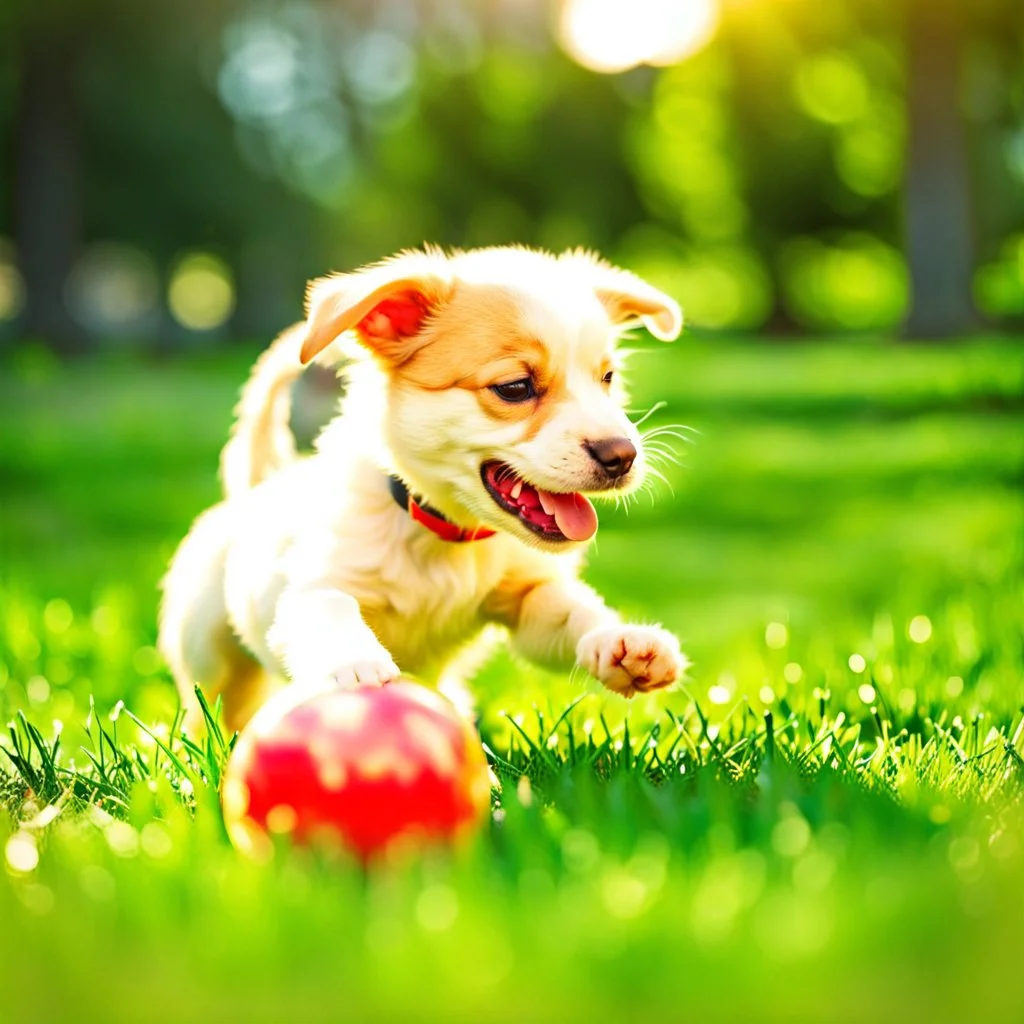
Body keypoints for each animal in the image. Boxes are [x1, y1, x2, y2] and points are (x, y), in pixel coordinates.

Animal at [157, 243, 688, 733]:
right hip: (208, 652)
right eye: (515, 387)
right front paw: (356, 667)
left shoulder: (528, 599)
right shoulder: (311, 588)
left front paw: (620, 643)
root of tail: (256, 489)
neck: (441, 533)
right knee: (214, 707)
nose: (622, 456)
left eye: (608, 378)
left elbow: (573, 612)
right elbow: (331, 610)